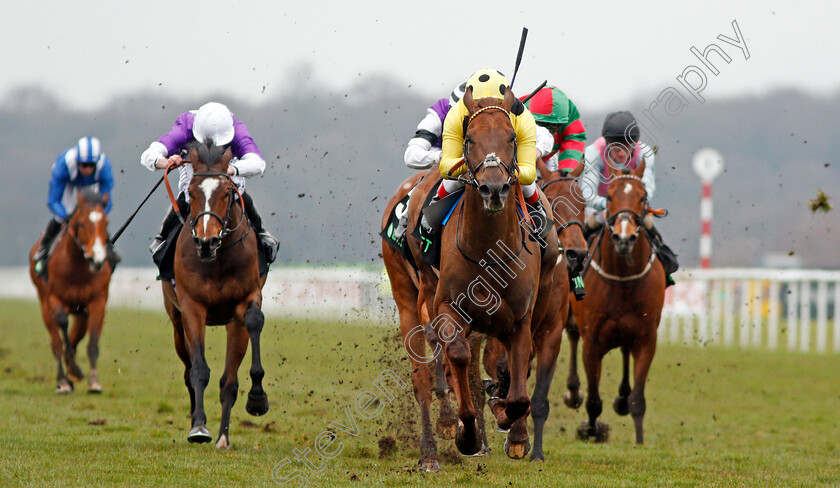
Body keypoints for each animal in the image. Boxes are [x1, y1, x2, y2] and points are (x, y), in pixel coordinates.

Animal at [29, 189, 113, 394]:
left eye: (106, 223)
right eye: (81, 223)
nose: (98, 259)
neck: (77, 269)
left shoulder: (97, 302)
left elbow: (92, 343)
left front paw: (93, 382)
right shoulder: (53, 300)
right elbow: (62, 327)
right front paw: (72, 371)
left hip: (81, 312)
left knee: (75, 337)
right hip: (44, 307)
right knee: (56, 343)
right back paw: (63, 381)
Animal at [161, 139, 270, 448]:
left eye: (226, 193)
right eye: (192, 193)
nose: (206, 242)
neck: (217, 260)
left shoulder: (244, 303)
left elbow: (252, 325)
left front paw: (256, 400)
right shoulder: (192, 307)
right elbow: (199, 369)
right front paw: (199, 427)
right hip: (176, 323)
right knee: (188, 370)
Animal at [406, 86, 556, 456]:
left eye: (511, 138)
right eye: (469, 138)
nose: (494, 188)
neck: (489, 248)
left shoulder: (521, 318)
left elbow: (517, 391)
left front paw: (509, 423)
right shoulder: (448, 306)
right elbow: (458, 354)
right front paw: (468, 433)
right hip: (426, 287)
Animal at [568, 161, 668, 446]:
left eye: (643, 197)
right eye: (610, 196)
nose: (624, 238)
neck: (623, 279)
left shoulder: (647, 339)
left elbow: (638, 399)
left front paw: (639, 441)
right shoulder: (592, 342)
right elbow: (593, 400)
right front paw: (591, 430)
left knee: (624, 352)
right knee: (571, 337)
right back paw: (572, 392)